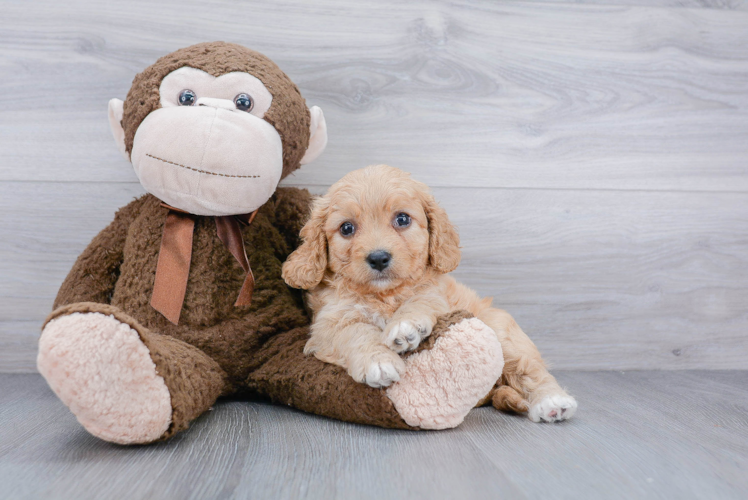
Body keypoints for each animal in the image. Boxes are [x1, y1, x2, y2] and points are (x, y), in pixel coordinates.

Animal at [282, 165, 580, 422]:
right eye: (346, 228)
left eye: (402, 219)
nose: (378, 258)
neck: (384, 295)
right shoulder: (328, 324)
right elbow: (354, 332)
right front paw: (377, 361)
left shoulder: (435, 295)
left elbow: (419, 302)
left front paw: (405, 326)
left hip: (503, 332)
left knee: (529, 369)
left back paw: (551, 402)